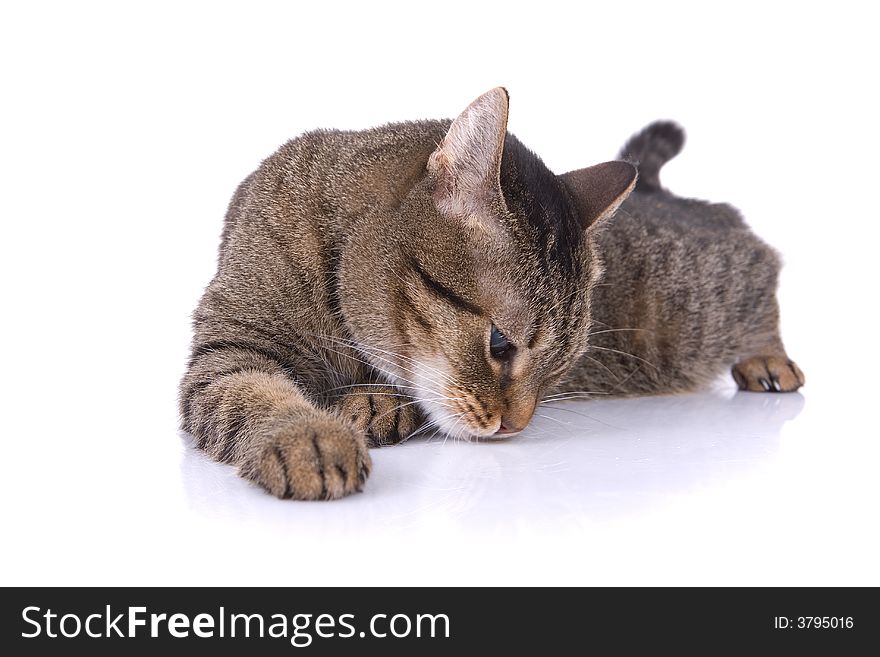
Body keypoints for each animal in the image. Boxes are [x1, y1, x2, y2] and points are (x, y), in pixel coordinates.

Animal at [180, 86, 804, 498]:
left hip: (709, 290)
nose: (517, 426)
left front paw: (373, 404)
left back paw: (767, 358)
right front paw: (310, 434)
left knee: (763, 276)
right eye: (500, 345)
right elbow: (256, 393)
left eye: (560, 367)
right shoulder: (228, 348)